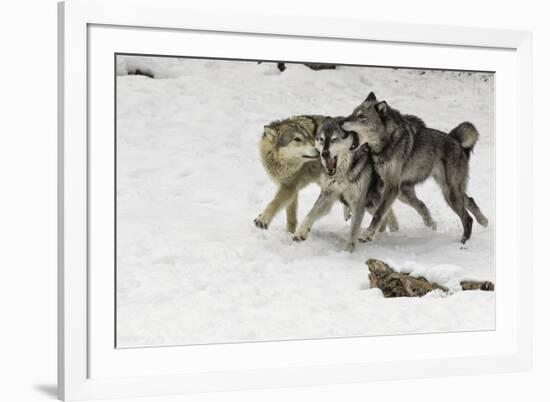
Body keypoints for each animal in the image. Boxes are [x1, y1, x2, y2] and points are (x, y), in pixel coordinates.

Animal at [254, 114, 402, 234]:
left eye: (308, 137)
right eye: (297, 139)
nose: (318, 151)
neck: (279, 163)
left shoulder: (289, 187)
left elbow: (274, 203)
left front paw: (263, 219)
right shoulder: (292, 189)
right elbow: (291, 218)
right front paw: (290, 234)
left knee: (388, 215)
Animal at [294, 114, 402, 251]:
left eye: (335, 139)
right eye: (321, 139)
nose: (324, 154)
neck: (342, 174)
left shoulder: (358, 203)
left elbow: (353, 232)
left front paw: (347, 252)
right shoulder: (328, 195)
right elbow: (310, 214)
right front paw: (300, 233)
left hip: (374, 201)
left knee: (389, 218)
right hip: (370, 204)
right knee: (387, 218)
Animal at [342, 93, 490, 245]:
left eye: (361, 117)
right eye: (353, 113)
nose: (341, 121)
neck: (386, 142)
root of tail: (456, 141)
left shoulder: (392, 186)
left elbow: (379, 213)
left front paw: (367, 235)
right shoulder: (383, 183)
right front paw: (348, 211)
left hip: (449, 194)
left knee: (467, 218)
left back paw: (463, 242)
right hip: (441, 191)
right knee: (469, 200)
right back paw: (483, 221)